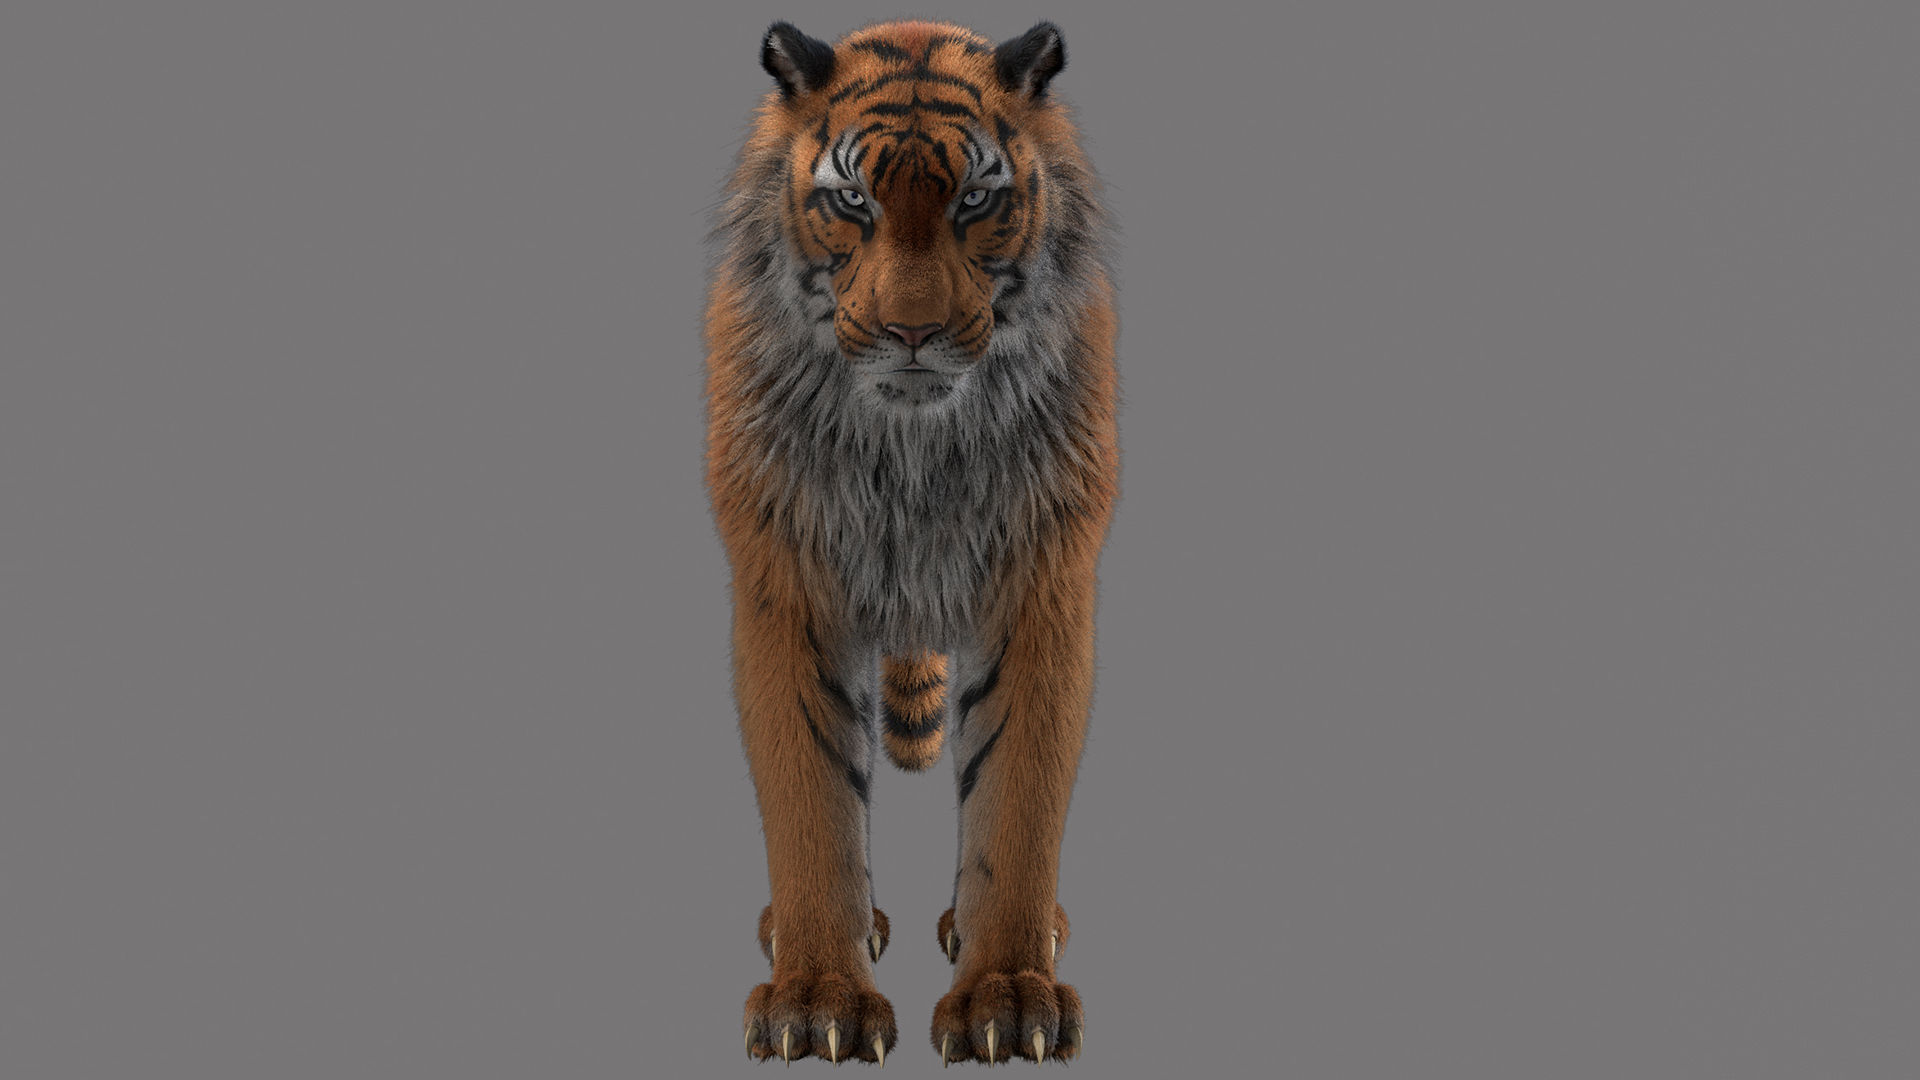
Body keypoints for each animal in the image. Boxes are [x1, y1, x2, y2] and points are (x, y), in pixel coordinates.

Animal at [704, 19, 1116, 1066]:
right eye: (853, 199)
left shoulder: (1040, 584)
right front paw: (816, 997)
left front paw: (1009, 996)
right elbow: (810, 804)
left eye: (975, 198)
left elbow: (1016, 804)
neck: (913, 450)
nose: (913, 333)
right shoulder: (787, 585)